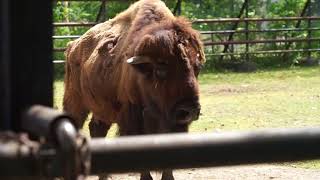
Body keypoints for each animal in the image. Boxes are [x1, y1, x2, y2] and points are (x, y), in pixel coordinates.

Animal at [63, 0, 206, 179]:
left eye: (197, 67)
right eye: (160, 69)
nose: (189, 110)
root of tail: (72, 46)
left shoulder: (174, 123)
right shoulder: (134, 119)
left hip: (103, 108)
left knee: (97, 128)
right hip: (75, 102)